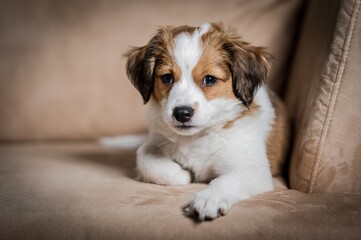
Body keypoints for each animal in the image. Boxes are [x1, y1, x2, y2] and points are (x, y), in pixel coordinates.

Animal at [125, 23, 288, 221]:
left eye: (209, 79)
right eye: (167, 78)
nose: (182, 113)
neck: (197, 137)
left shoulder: (253, 169)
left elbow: (225, 180)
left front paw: (210, 198)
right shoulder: (156, 140)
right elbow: (144, 154)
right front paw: (181, 175)